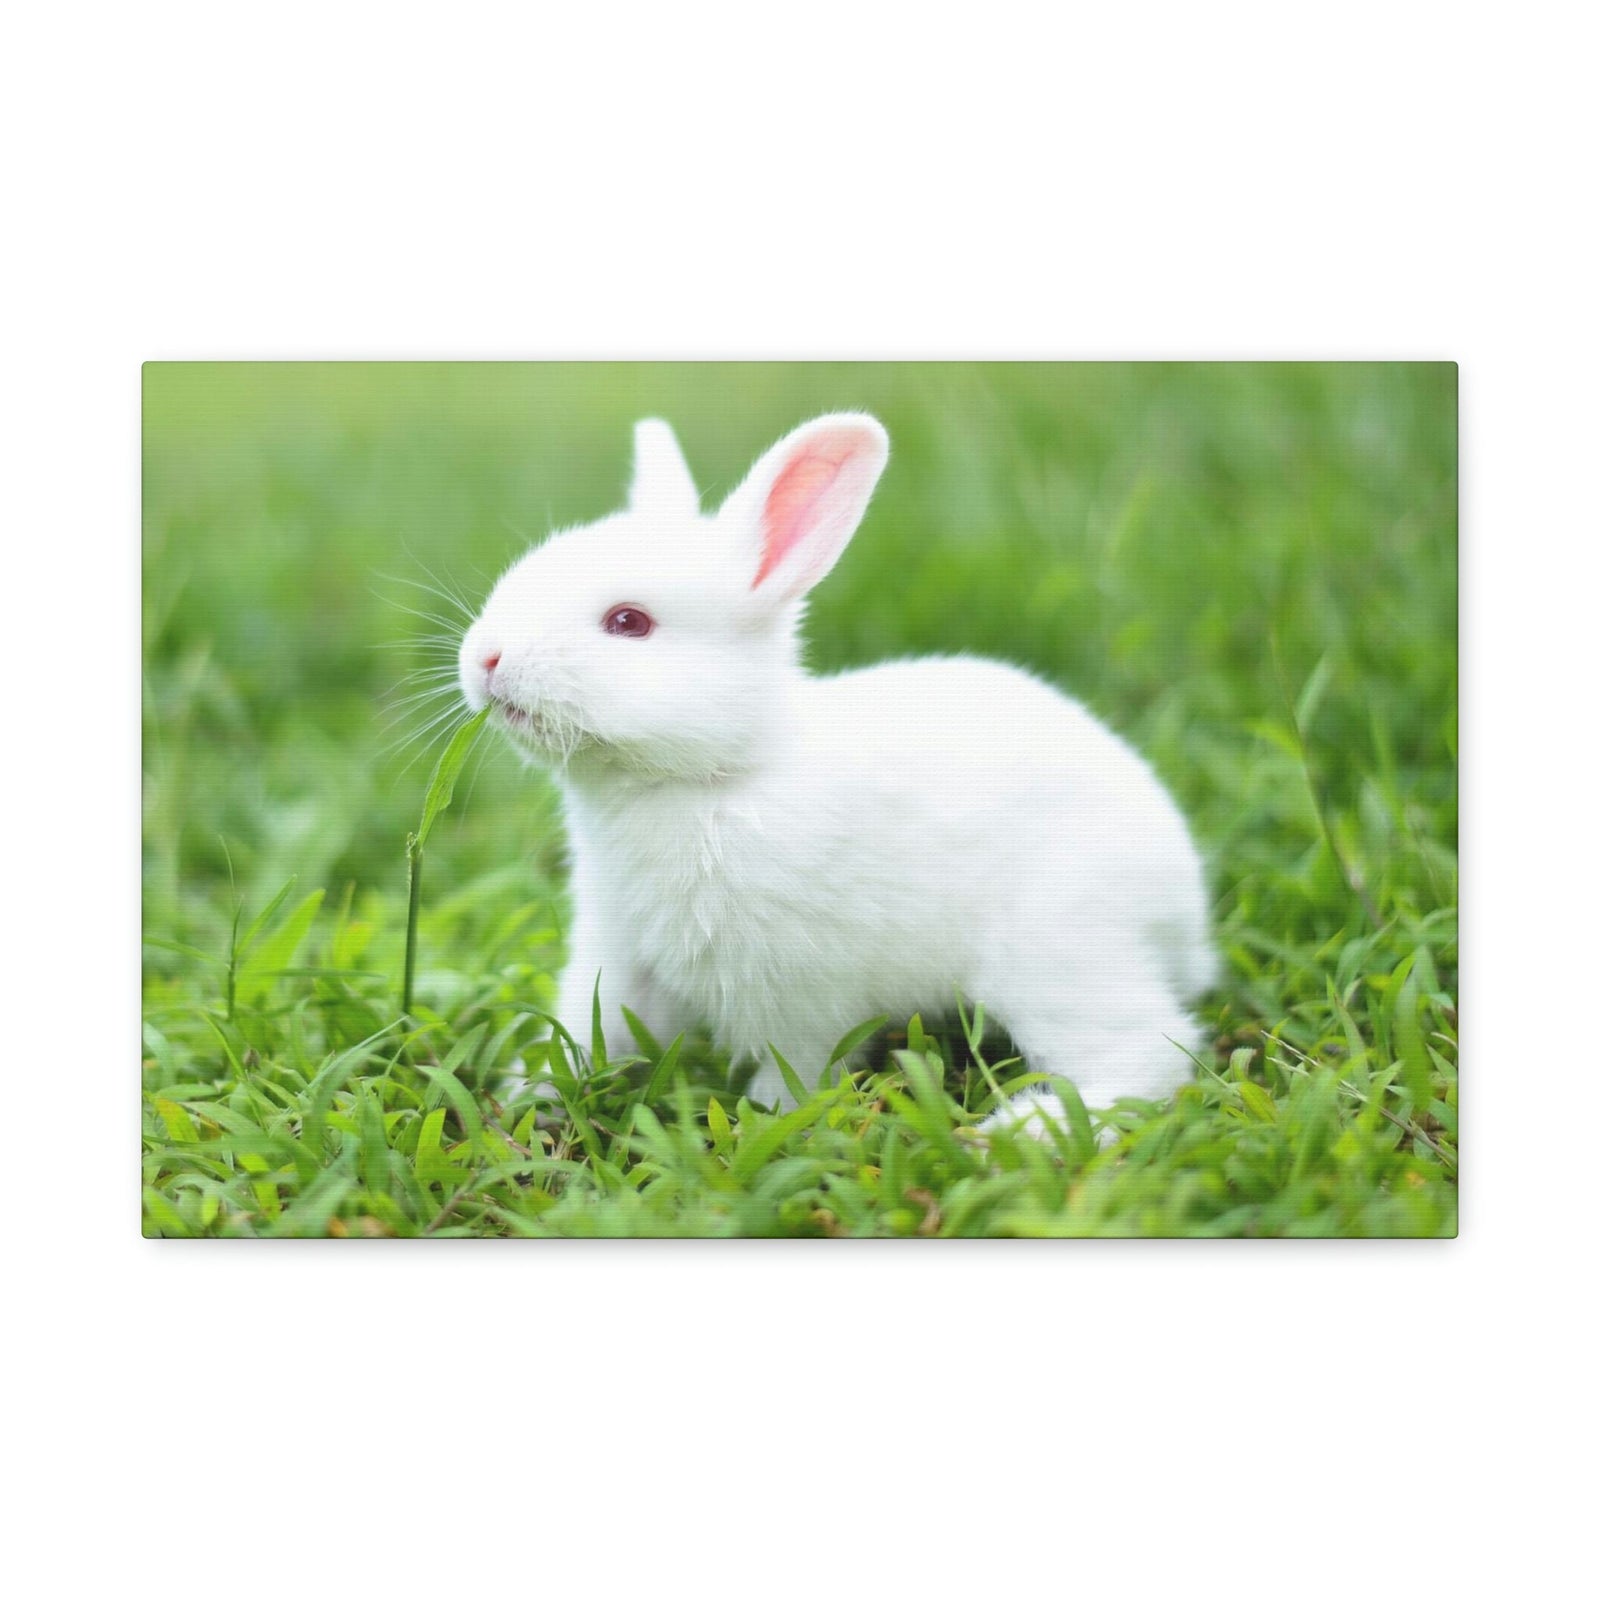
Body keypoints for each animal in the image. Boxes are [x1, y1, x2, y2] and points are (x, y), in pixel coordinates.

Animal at [458, 412, 1216, 1136]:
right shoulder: (620, 960)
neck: (713, 777)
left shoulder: (799, 996)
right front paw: (525, 1100)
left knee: (1148, 1054)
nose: (486, 658)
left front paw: (765, 1123)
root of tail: (1185, 909)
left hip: (1055, 953)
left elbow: (795, 1071)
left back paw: (1018, 1133)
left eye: (628, 622)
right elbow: (586, 1036)